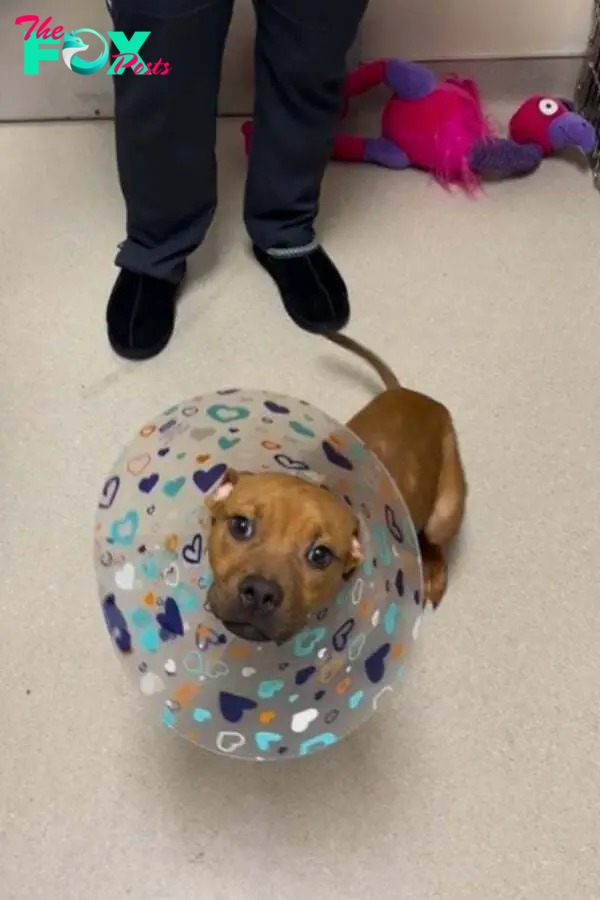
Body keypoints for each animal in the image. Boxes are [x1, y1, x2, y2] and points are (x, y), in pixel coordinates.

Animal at [204, 334, 466, 644]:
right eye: (240, 525)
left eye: (320, 555)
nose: (259, 592)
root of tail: (410, 394)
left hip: (446, 510)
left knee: (435, 544)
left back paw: (433, 574)